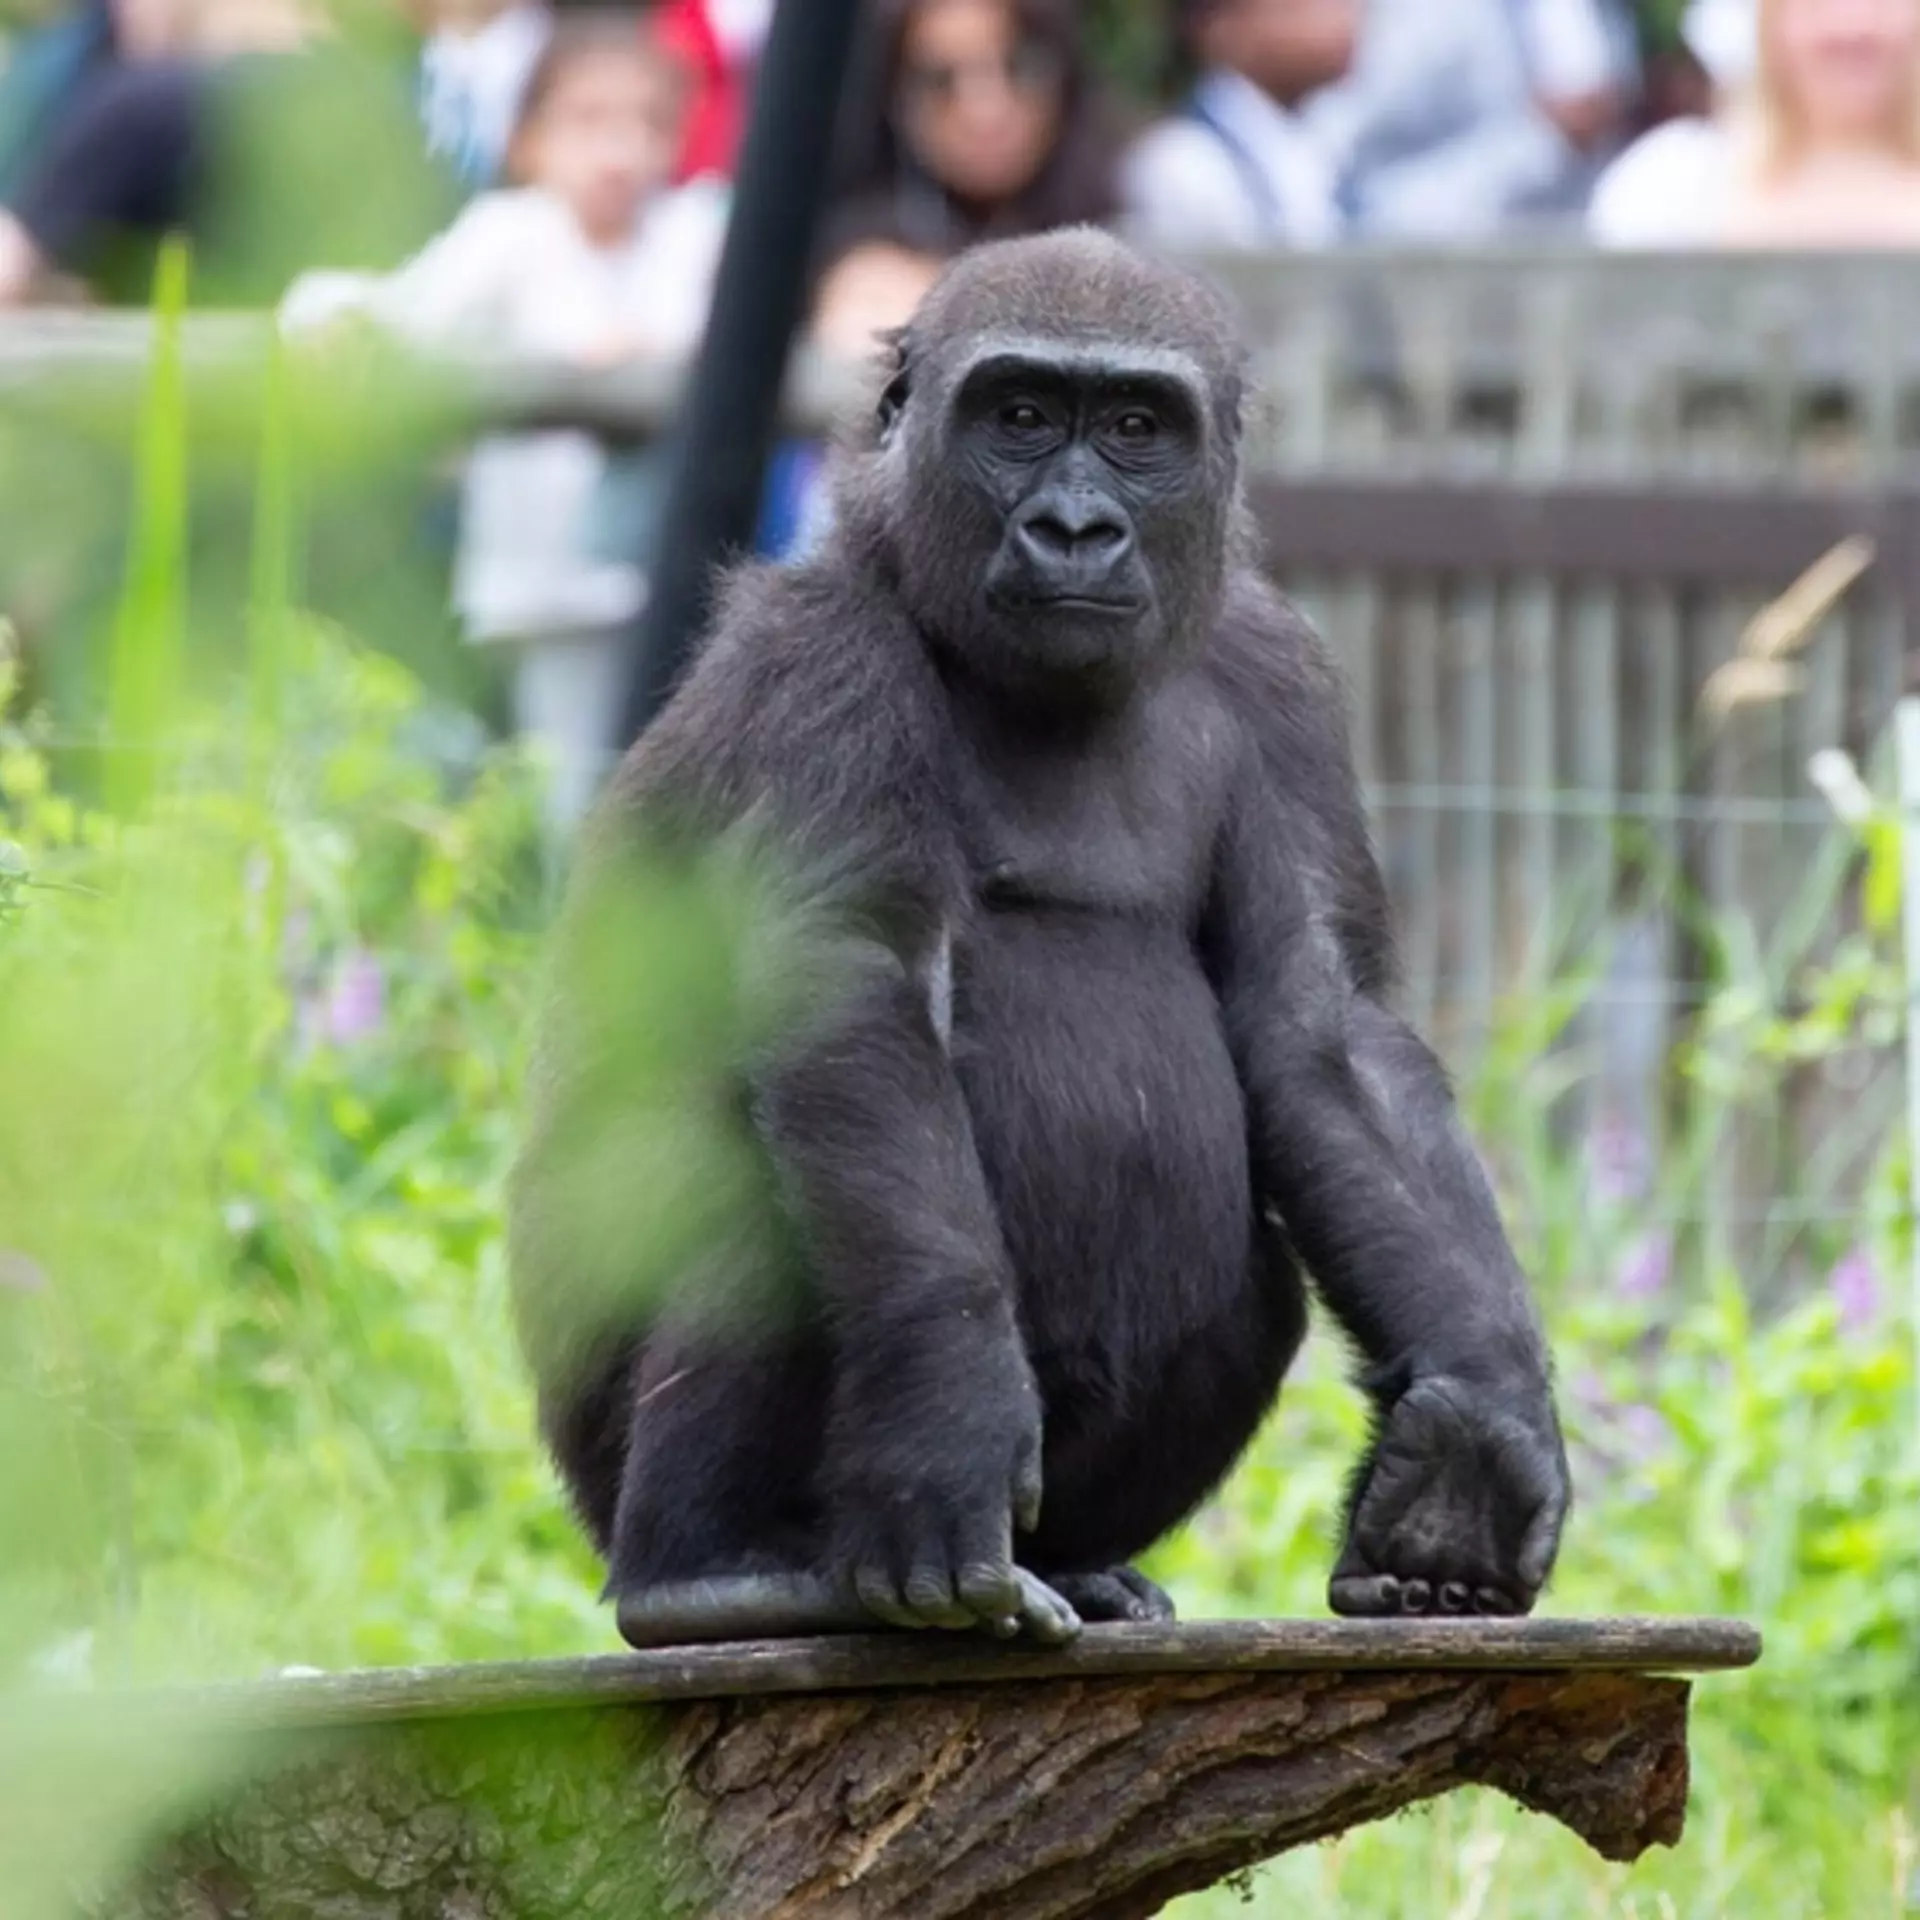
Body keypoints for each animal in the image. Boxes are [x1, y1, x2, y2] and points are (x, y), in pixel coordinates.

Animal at [506, 228, 1559, 1651]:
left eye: (1133, 428)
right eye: (1017, 418)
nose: (1074, 527)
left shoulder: (1279, 668)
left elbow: (1323, 1029)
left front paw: (1483, 1429)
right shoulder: (818, 657)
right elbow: (858, 991)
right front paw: (952, 1412)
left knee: (1253, 1274)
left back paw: (1085, 1566)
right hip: (593, 1456)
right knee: (769, 1181)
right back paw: (709, 1573)